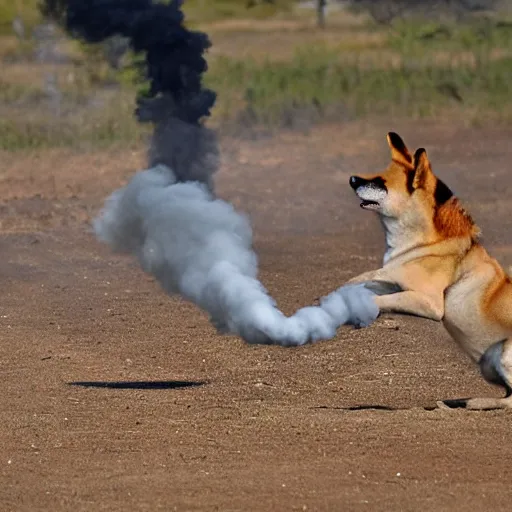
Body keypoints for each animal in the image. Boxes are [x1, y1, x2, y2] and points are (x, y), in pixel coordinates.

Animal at [348, 133, 512, 412]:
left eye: (381, 182)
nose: (352, 179)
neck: (424, 244)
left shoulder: (429, 302)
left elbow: (384, 297)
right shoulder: (394, 277)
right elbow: (371, 278)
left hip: (504, 352)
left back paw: (469, 403)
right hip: (489, 365)